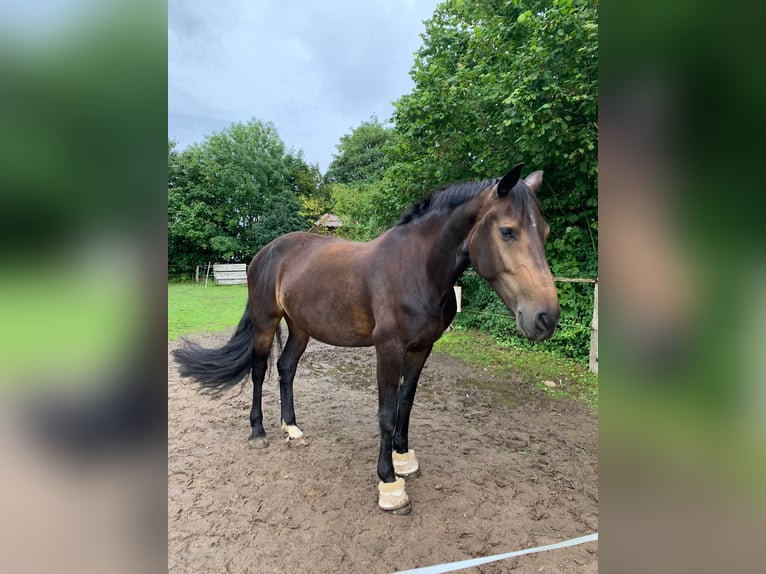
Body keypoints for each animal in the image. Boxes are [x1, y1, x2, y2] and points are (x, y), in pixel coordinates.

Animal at [172, 163, 559, 514]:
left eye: (545, 232)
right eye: (507, 231)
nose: (546, 317)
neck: (417, 268)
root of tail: (264, 253)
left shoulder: (421, 349)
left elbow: (406, 402)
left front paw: (404, 457)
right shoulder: (388, 349)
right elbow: (386, 412)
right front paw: (389, 484)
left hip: (300, 327)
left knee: (285, 369)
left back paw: (292, 429)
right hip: (265, 322)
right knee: (258, 371)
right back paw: (258, 433)